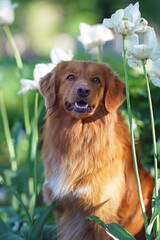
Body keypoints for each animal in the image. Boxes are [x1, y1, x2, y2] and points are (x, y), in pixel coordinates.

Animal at [39, 60, 154, 240]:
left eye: (96, 80)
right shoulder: (61, 211)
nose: (83, 90)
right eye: (70, 77)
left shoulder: (103, 217)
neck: (79, 136)